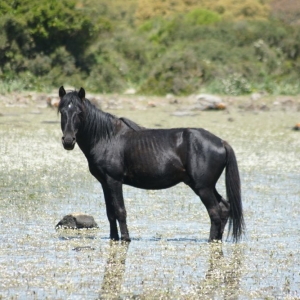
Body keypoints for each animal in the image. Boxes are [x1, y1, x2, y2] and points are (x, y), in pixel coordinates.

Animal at [58, 86, 244, 241]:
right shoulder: (105, 182)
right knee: (224, 208)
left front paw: (125, 239)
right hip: (203, 185)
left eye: (79, 112)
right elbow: (110, 213)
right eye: (61, 111)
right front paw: (113, 238)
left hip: (203, 187)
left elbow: (120, 211)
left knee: (215, 212)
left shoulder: (114, 181)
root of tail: (221, 142)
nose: (68, 141)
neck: (107, 138)